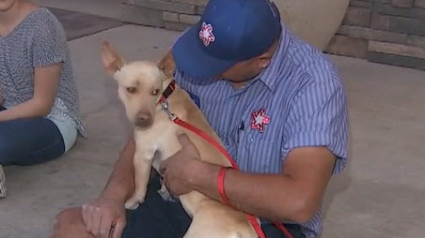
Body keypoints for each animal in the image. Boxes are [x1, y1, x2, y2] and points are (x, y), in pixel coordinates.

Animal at [101, 41, 256, 238]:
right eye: (131, 90)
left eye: (155, 91)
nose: (144, 119)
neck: (164, 98)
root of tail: (243, 228)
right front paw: (165, 192)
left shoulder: (143, 154)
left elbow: (139, 185)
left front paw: (133, 201)